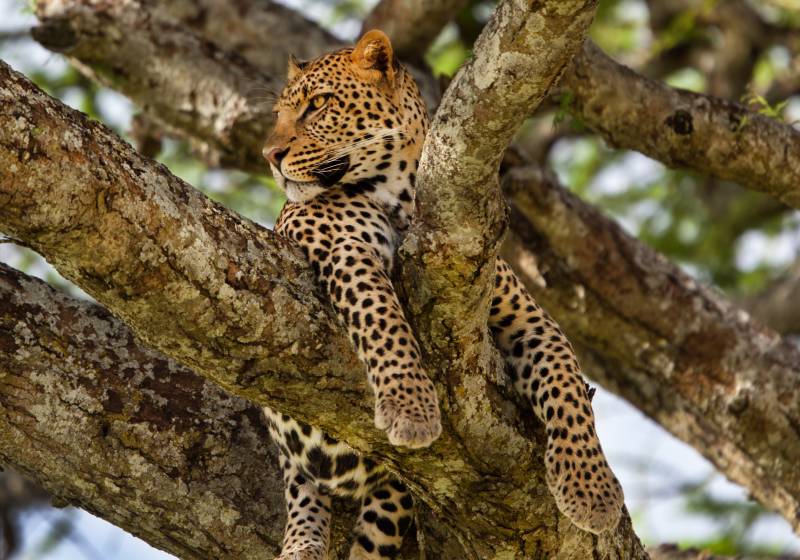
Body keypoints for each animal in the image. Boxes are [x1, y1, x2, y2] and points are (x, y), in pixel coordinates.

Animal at [261, 29, 624, 559]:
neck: (399, 194)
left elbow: (565, 377)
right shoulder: (343, 249)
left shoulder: (523, 313)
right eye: (279, 115)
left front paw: (591, 489)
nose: (270, 156)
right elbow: (383, 318)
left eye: (318, 104)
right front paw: (411, 409)